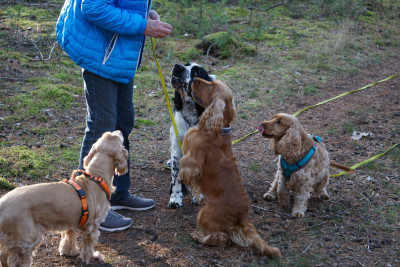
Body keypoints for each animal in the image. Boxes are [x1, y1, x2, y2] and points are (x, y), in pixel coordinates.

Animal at [167, 63, 216, 209]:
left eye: (195, 72)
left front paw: (198, 195)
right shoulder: (177, 150)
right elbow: (176, 178)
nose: (177, 66)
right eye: (186, 64)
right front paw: (175, 198)